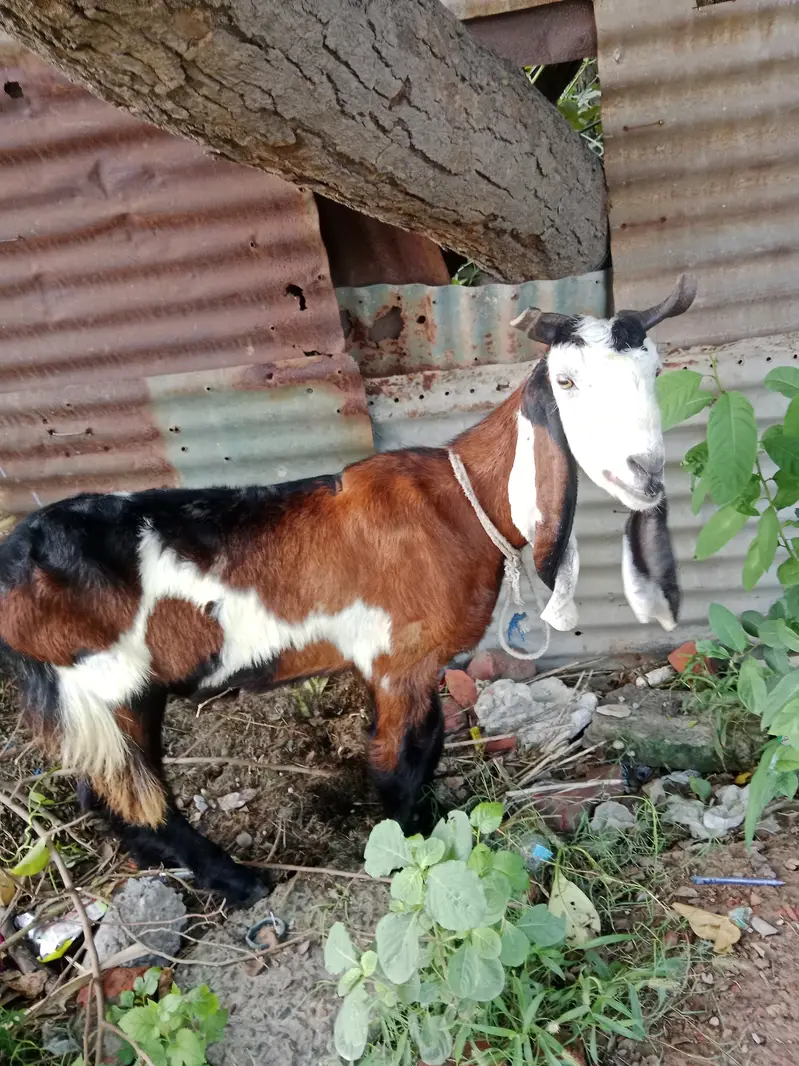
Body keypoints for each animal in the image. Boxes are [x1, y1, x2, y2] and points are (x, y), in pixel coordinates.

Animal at [0, 276, 696, 905]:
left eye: (657, 370)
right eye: (568, 381)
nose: (646, 472)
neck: (459, 506)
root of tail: (14, 562)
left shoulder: (420, 661)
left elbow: (430, 743)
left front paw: (434, 820)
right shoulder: (395, 658)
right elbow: (397, 759)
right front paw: (408, 843)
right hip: (110, 686)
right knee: (129, 796)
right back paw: (240, 883)